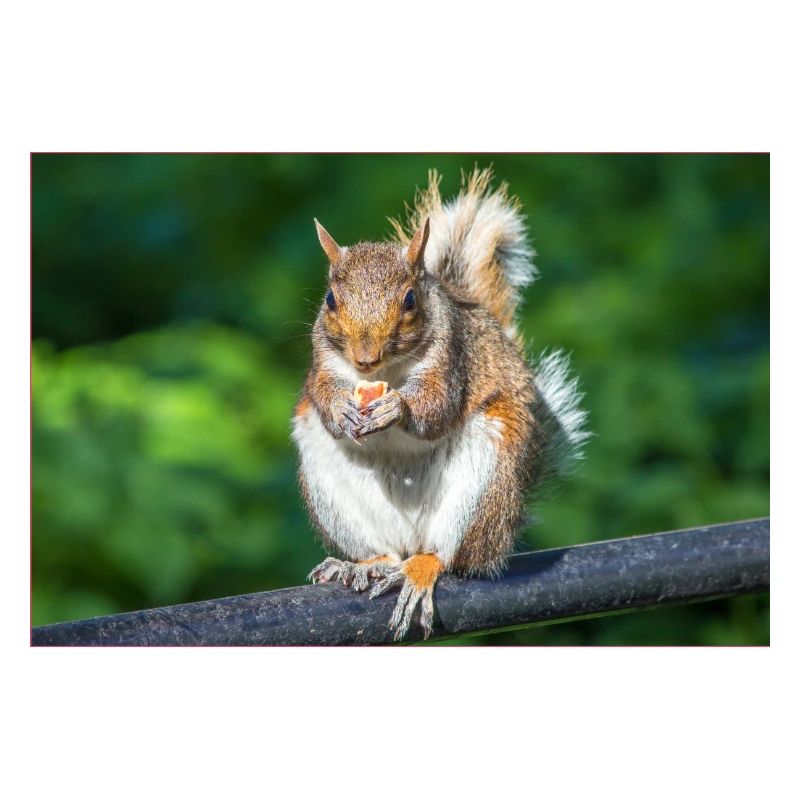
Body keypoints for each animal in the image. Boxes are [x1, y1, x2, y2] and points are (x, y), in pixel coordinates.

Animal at [291, 167, 588, 641]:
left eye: (410, 299)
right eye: (330, 299)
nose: (364, 358)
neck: (388, 372)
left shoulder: (452, 357)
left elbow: (436, 407)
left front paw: (398, 409)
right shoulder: (323, 360)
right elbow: (322, 394)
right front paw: (340, 409)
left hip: (486, 479)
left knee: (450, 556)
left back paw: (421, 570)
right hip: (328, 479)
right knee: (384, 550)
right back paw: (366, 564)